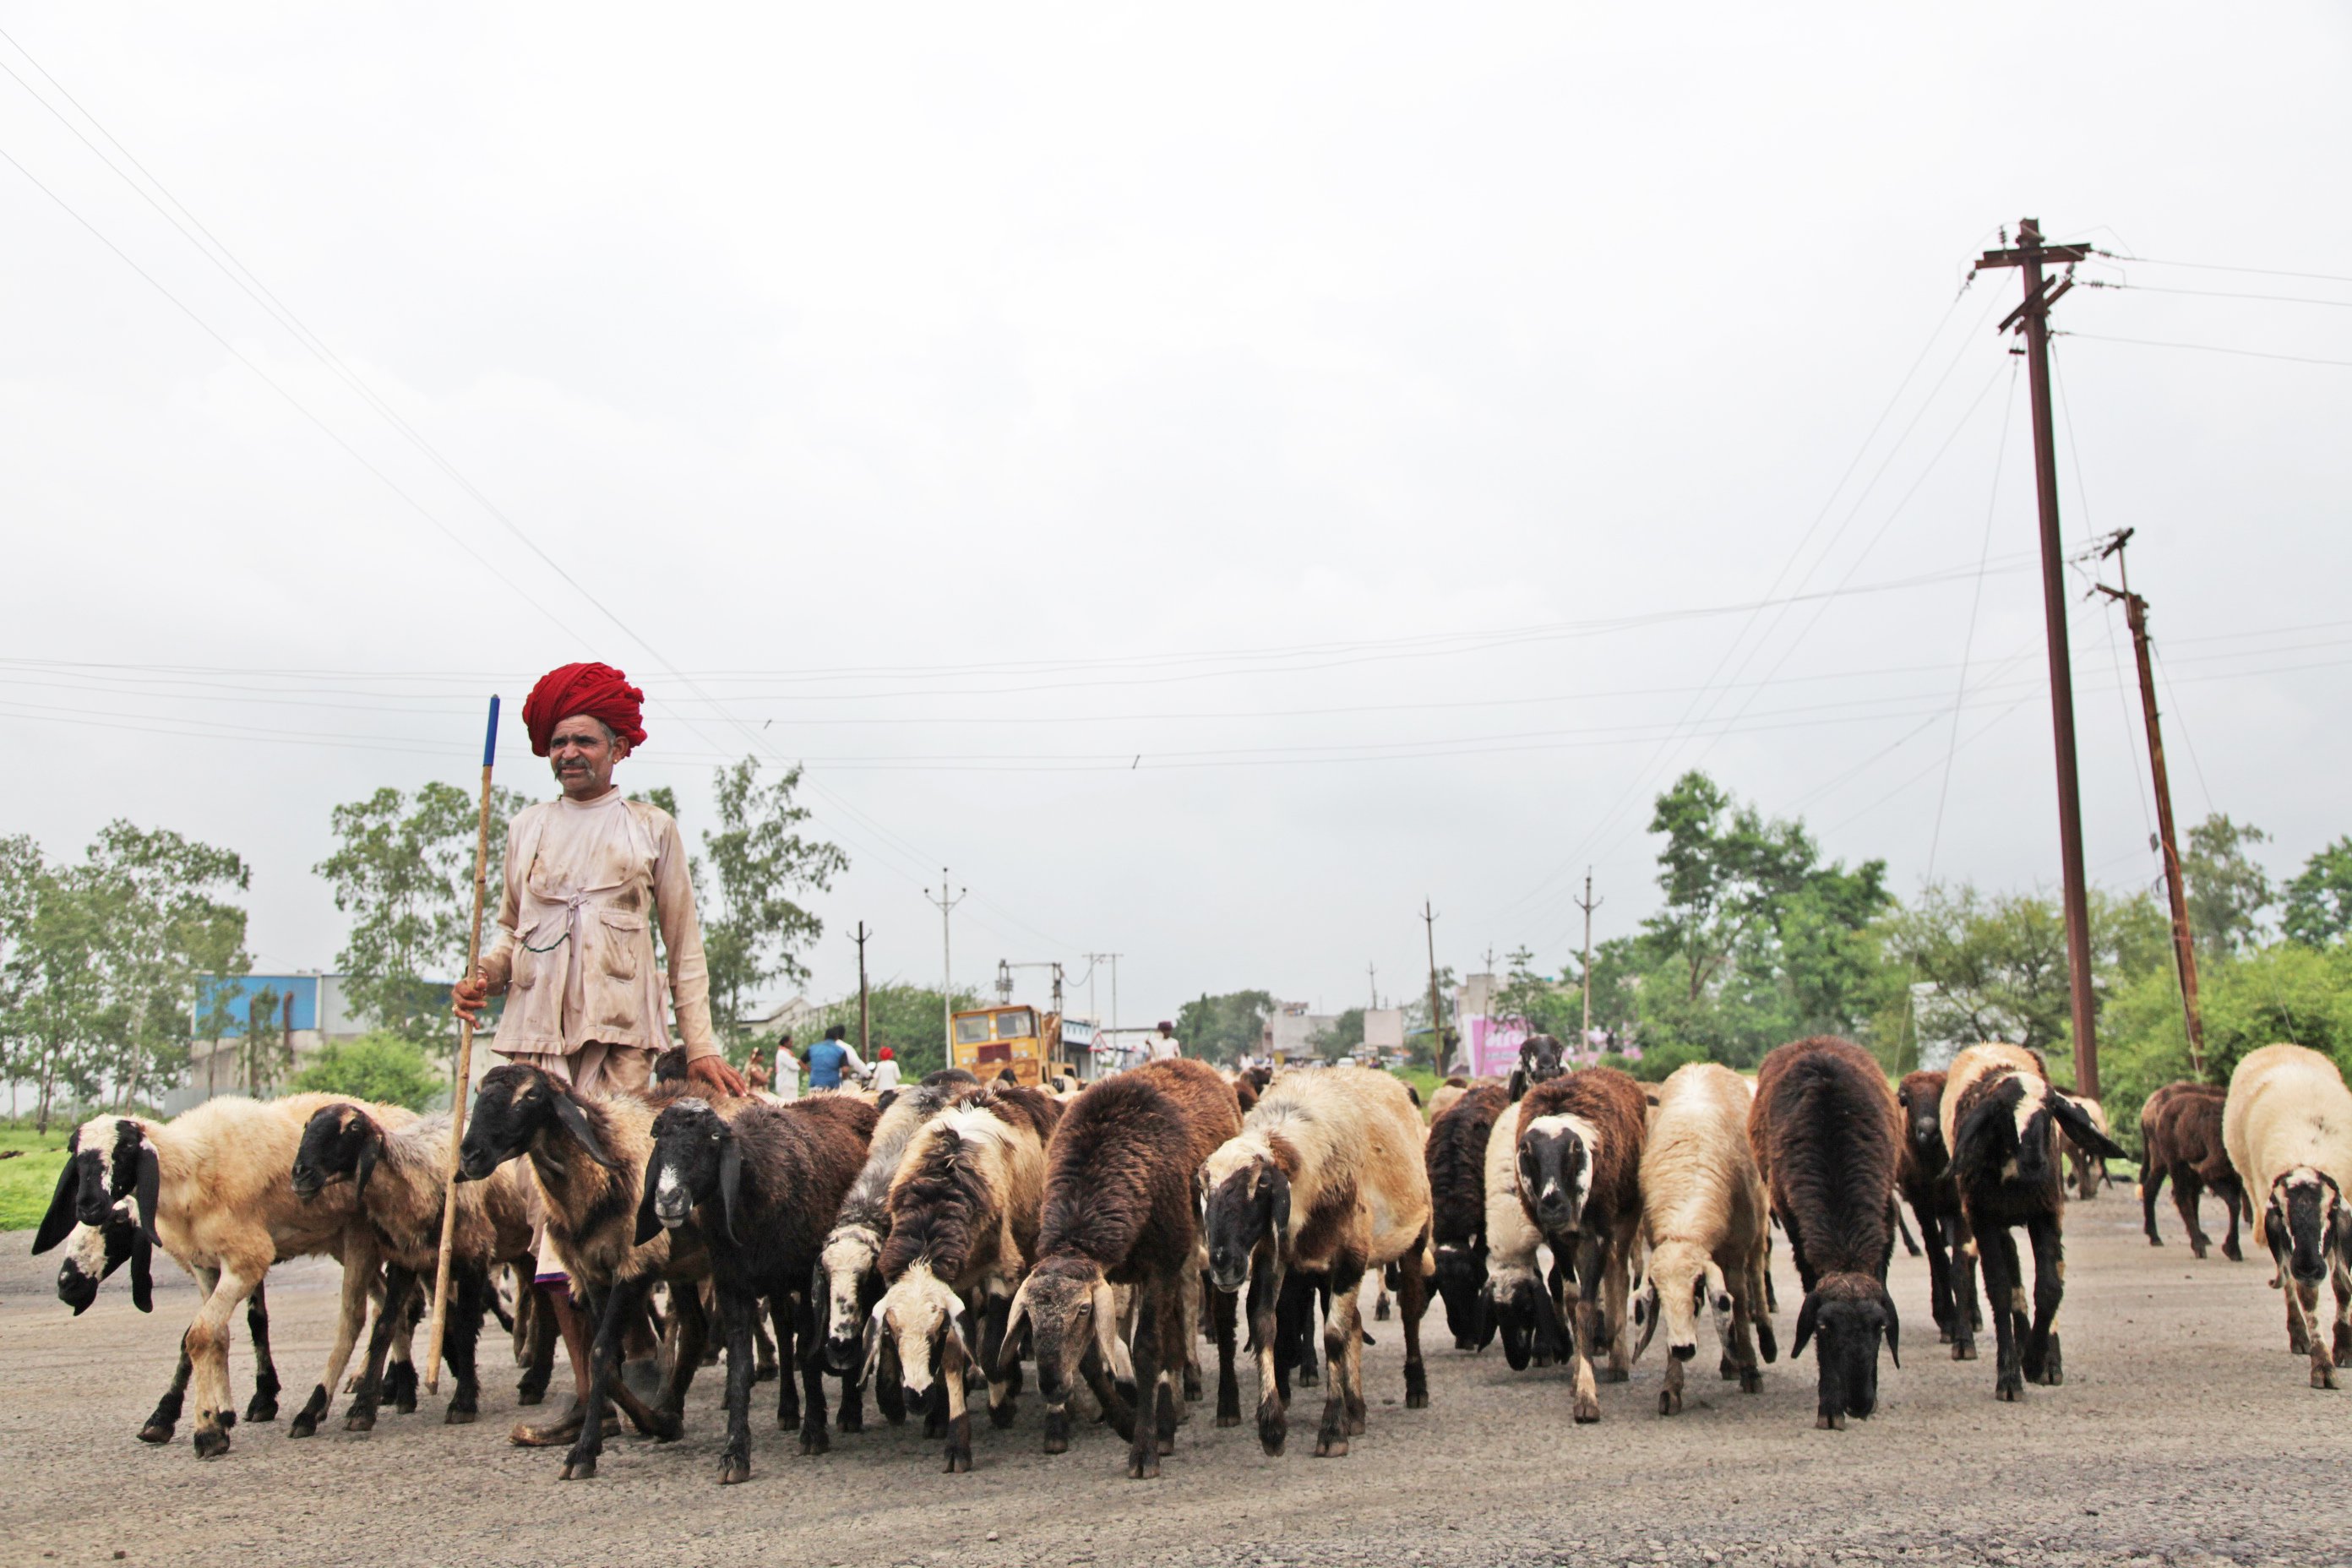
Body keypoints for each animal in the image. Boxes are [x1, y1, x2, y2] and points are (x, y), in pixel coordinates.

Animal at [1514, 1067, 1646, 1419]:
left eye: (1573, 1150)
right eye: (1527, 1152)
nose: (1553, 1206)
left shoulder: (1598, 1233)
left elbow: (1587, 1307)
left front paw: (1587, 1396)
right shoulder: (1559, 1239)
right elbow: (1573, 1301)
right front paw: (1577, 1378)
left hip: (1626, 1216)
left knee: (1619, 1277)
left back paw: (1618, 1359)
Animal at [1759, 1034, 1900, 1429]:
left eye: (1880, 1327)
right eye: (1823, 1328)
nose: (1859, 1403)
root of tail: (1813, 1040)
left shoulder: (1886, 1220)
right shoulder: (1797, 1232)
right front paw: (1830, 1405)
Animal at [2135, 1081, 2239, 1260]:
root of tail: (2148, 1107)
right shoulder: (2210, 1172)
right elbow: (2235, 1203)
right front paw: (2232, 1249)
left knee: (2155, 1190)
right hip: (2172, 1163)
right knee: (2179, 1196)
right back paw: (2194, 1244)